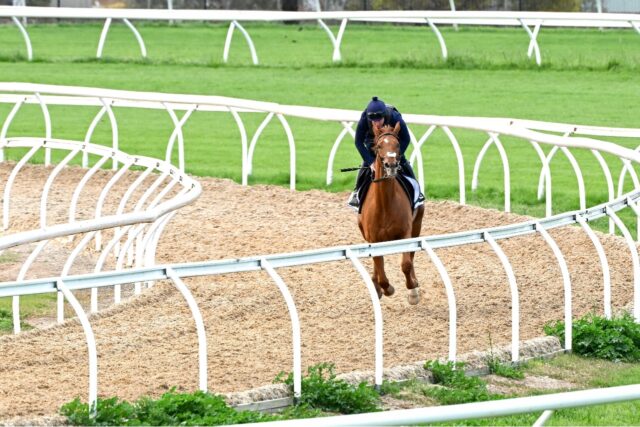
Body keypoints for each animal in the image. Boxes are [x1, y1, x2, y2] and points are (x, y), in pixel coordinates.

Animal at [360, 122, 424, 306]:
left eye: (397, 144)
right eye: (379, 146)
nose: (391, 165)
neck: (385, 205)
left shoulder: (406, 232)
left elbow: (406, 264)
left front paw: (412, 291)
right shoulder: (373, 238)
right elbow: (379, 268)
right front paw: (386, 288)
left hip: (417, 224)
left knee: (411, 256)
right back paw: (376, 286)